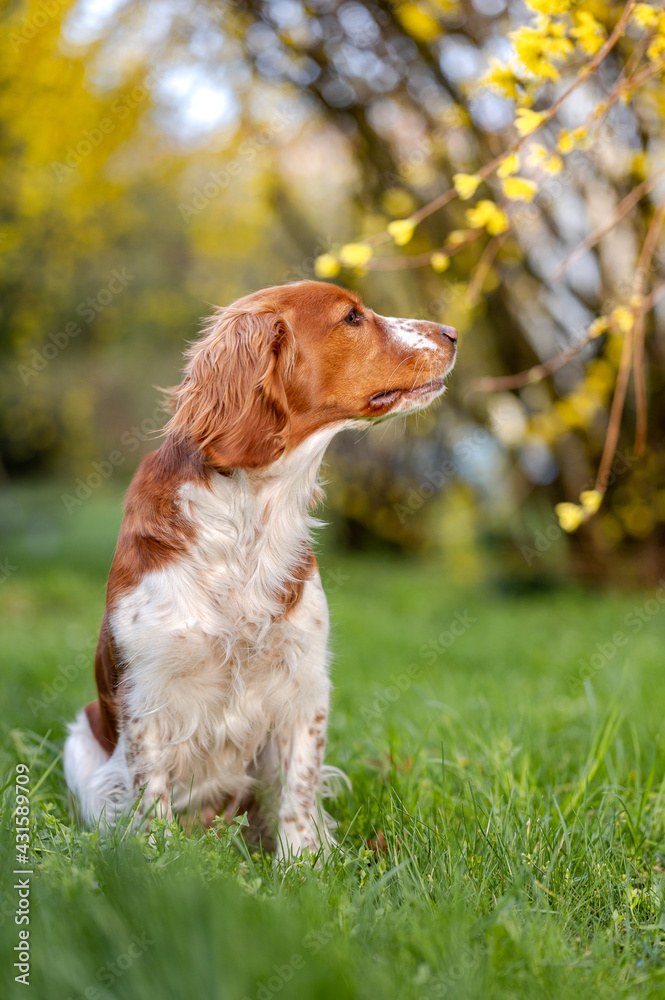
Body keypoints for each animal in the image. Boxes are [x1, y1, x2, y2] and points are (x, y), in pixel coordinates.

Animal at [63, 278, 456, 856]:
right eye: (352, 317)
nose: (452, 332)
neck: (252, 515)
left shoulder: (304, 683)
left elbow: (298, 788)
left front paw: (303, 863)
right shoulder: (146, 693)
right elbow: (150, 793)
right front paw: (157, 860)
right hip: (81, 746)